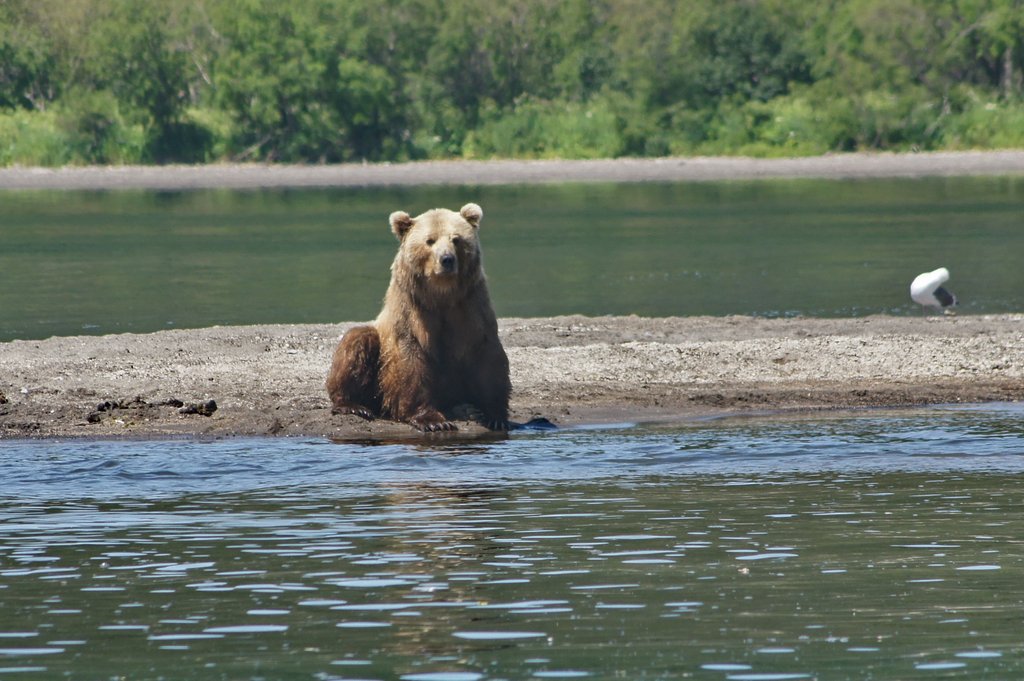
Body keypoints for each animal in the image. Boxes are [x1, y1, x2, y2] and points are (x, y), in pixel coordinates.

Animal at [325, 201, 509, 430]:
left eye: (456, 239)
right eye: (430, 240)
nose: (446, 259)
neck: (442, 294)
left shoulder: (471, 305)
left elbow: (486, 352)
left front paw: (495, 415)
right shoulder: (411, 309)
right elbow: (410, 357)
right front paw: (432, 420)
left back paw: (467, 409)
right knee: (357, 339)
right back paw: (353, 405)